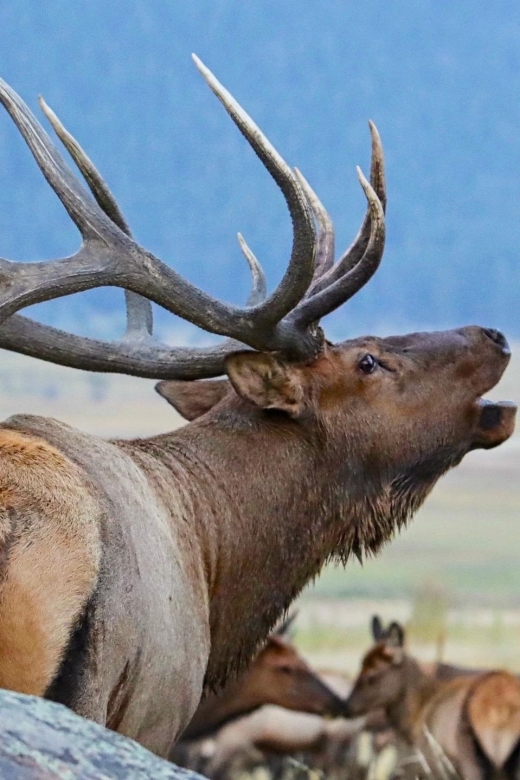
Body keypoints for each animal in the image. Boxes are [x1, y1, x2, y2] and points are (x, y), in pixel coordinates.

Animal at [344, 620, 520, 776]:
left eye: (371, 673)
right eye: (362, 665)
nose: (347, 706)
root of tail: (501, 713)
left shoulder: (430, 763)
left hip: (469, 762)